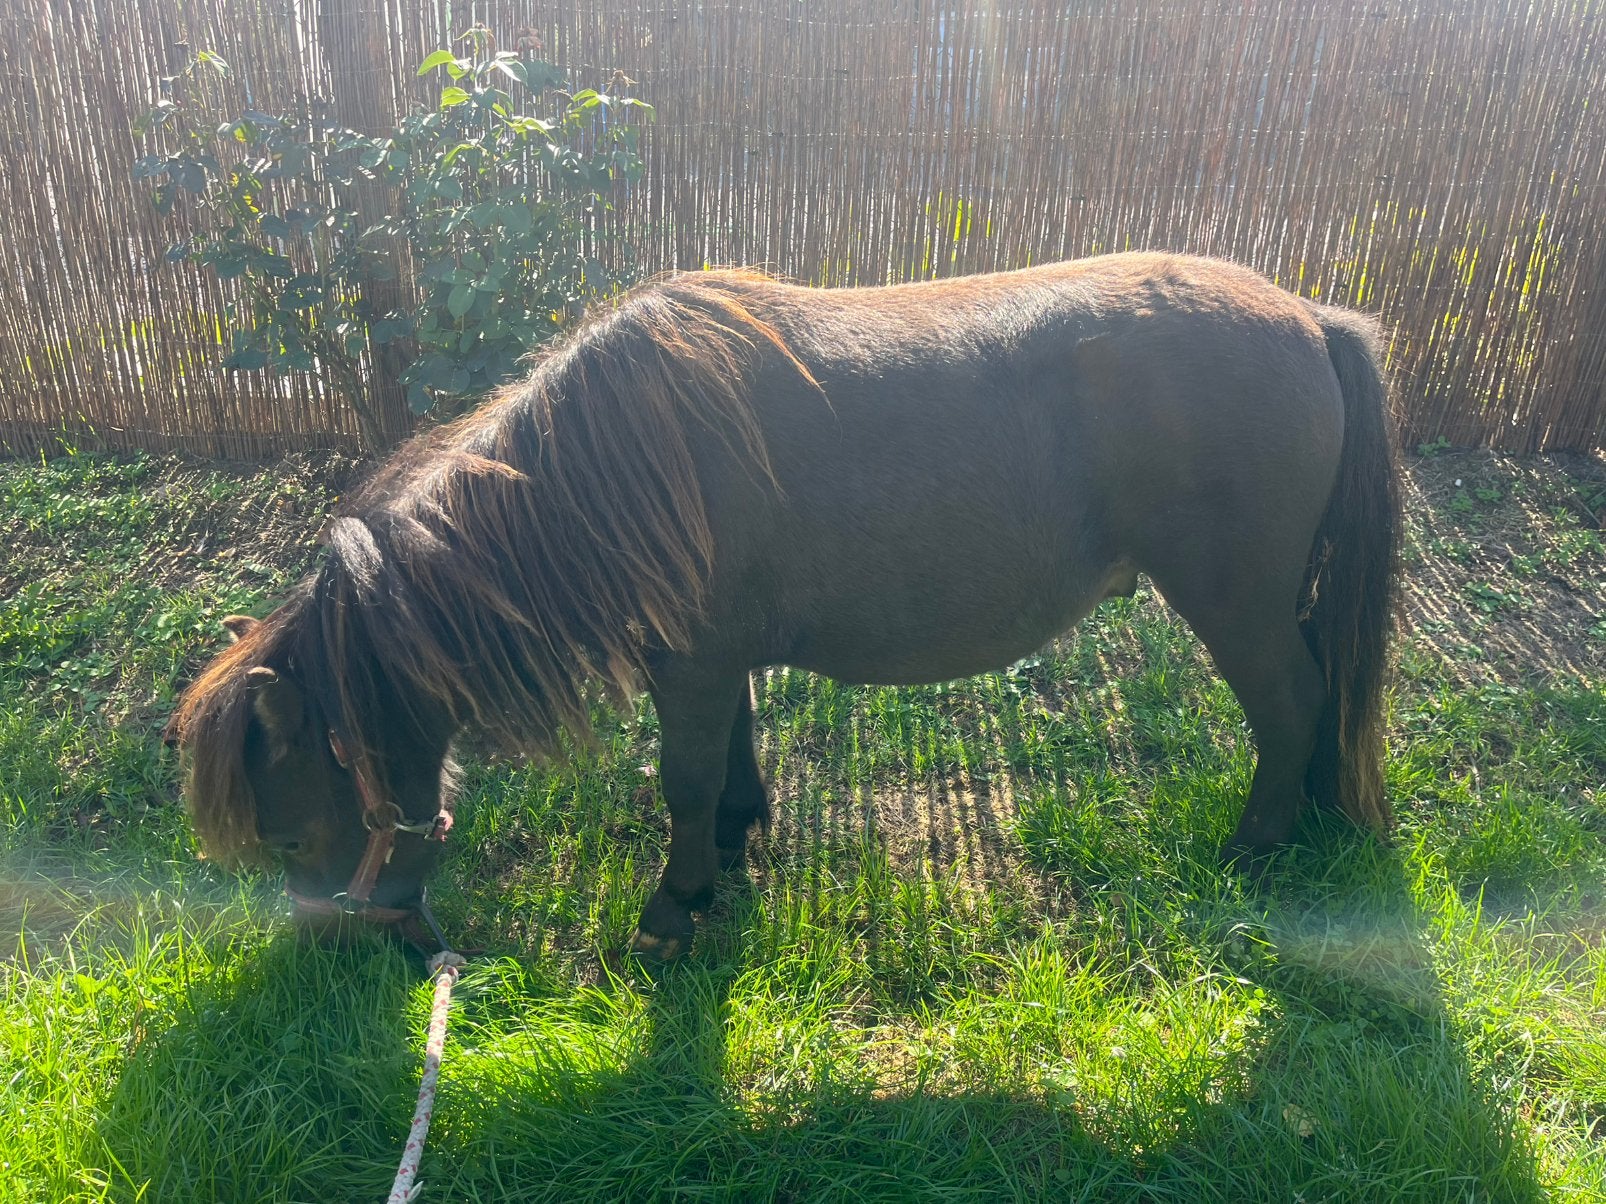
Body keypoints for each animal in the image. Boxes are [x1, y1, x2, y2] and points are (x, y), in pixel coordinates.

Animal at [169, 253, 1403, 958]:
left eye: (287, 829)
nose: (354, 946)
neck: (607, 473)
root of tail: (1309, 318)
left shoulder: (694, 667)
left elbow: (680, 776)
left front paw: (674, 909)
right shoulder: (712, 664)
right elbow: (728, 759)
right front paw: (730, 843)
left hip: (1235, 605)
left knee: (1292, 706)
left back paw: (1256, 849)